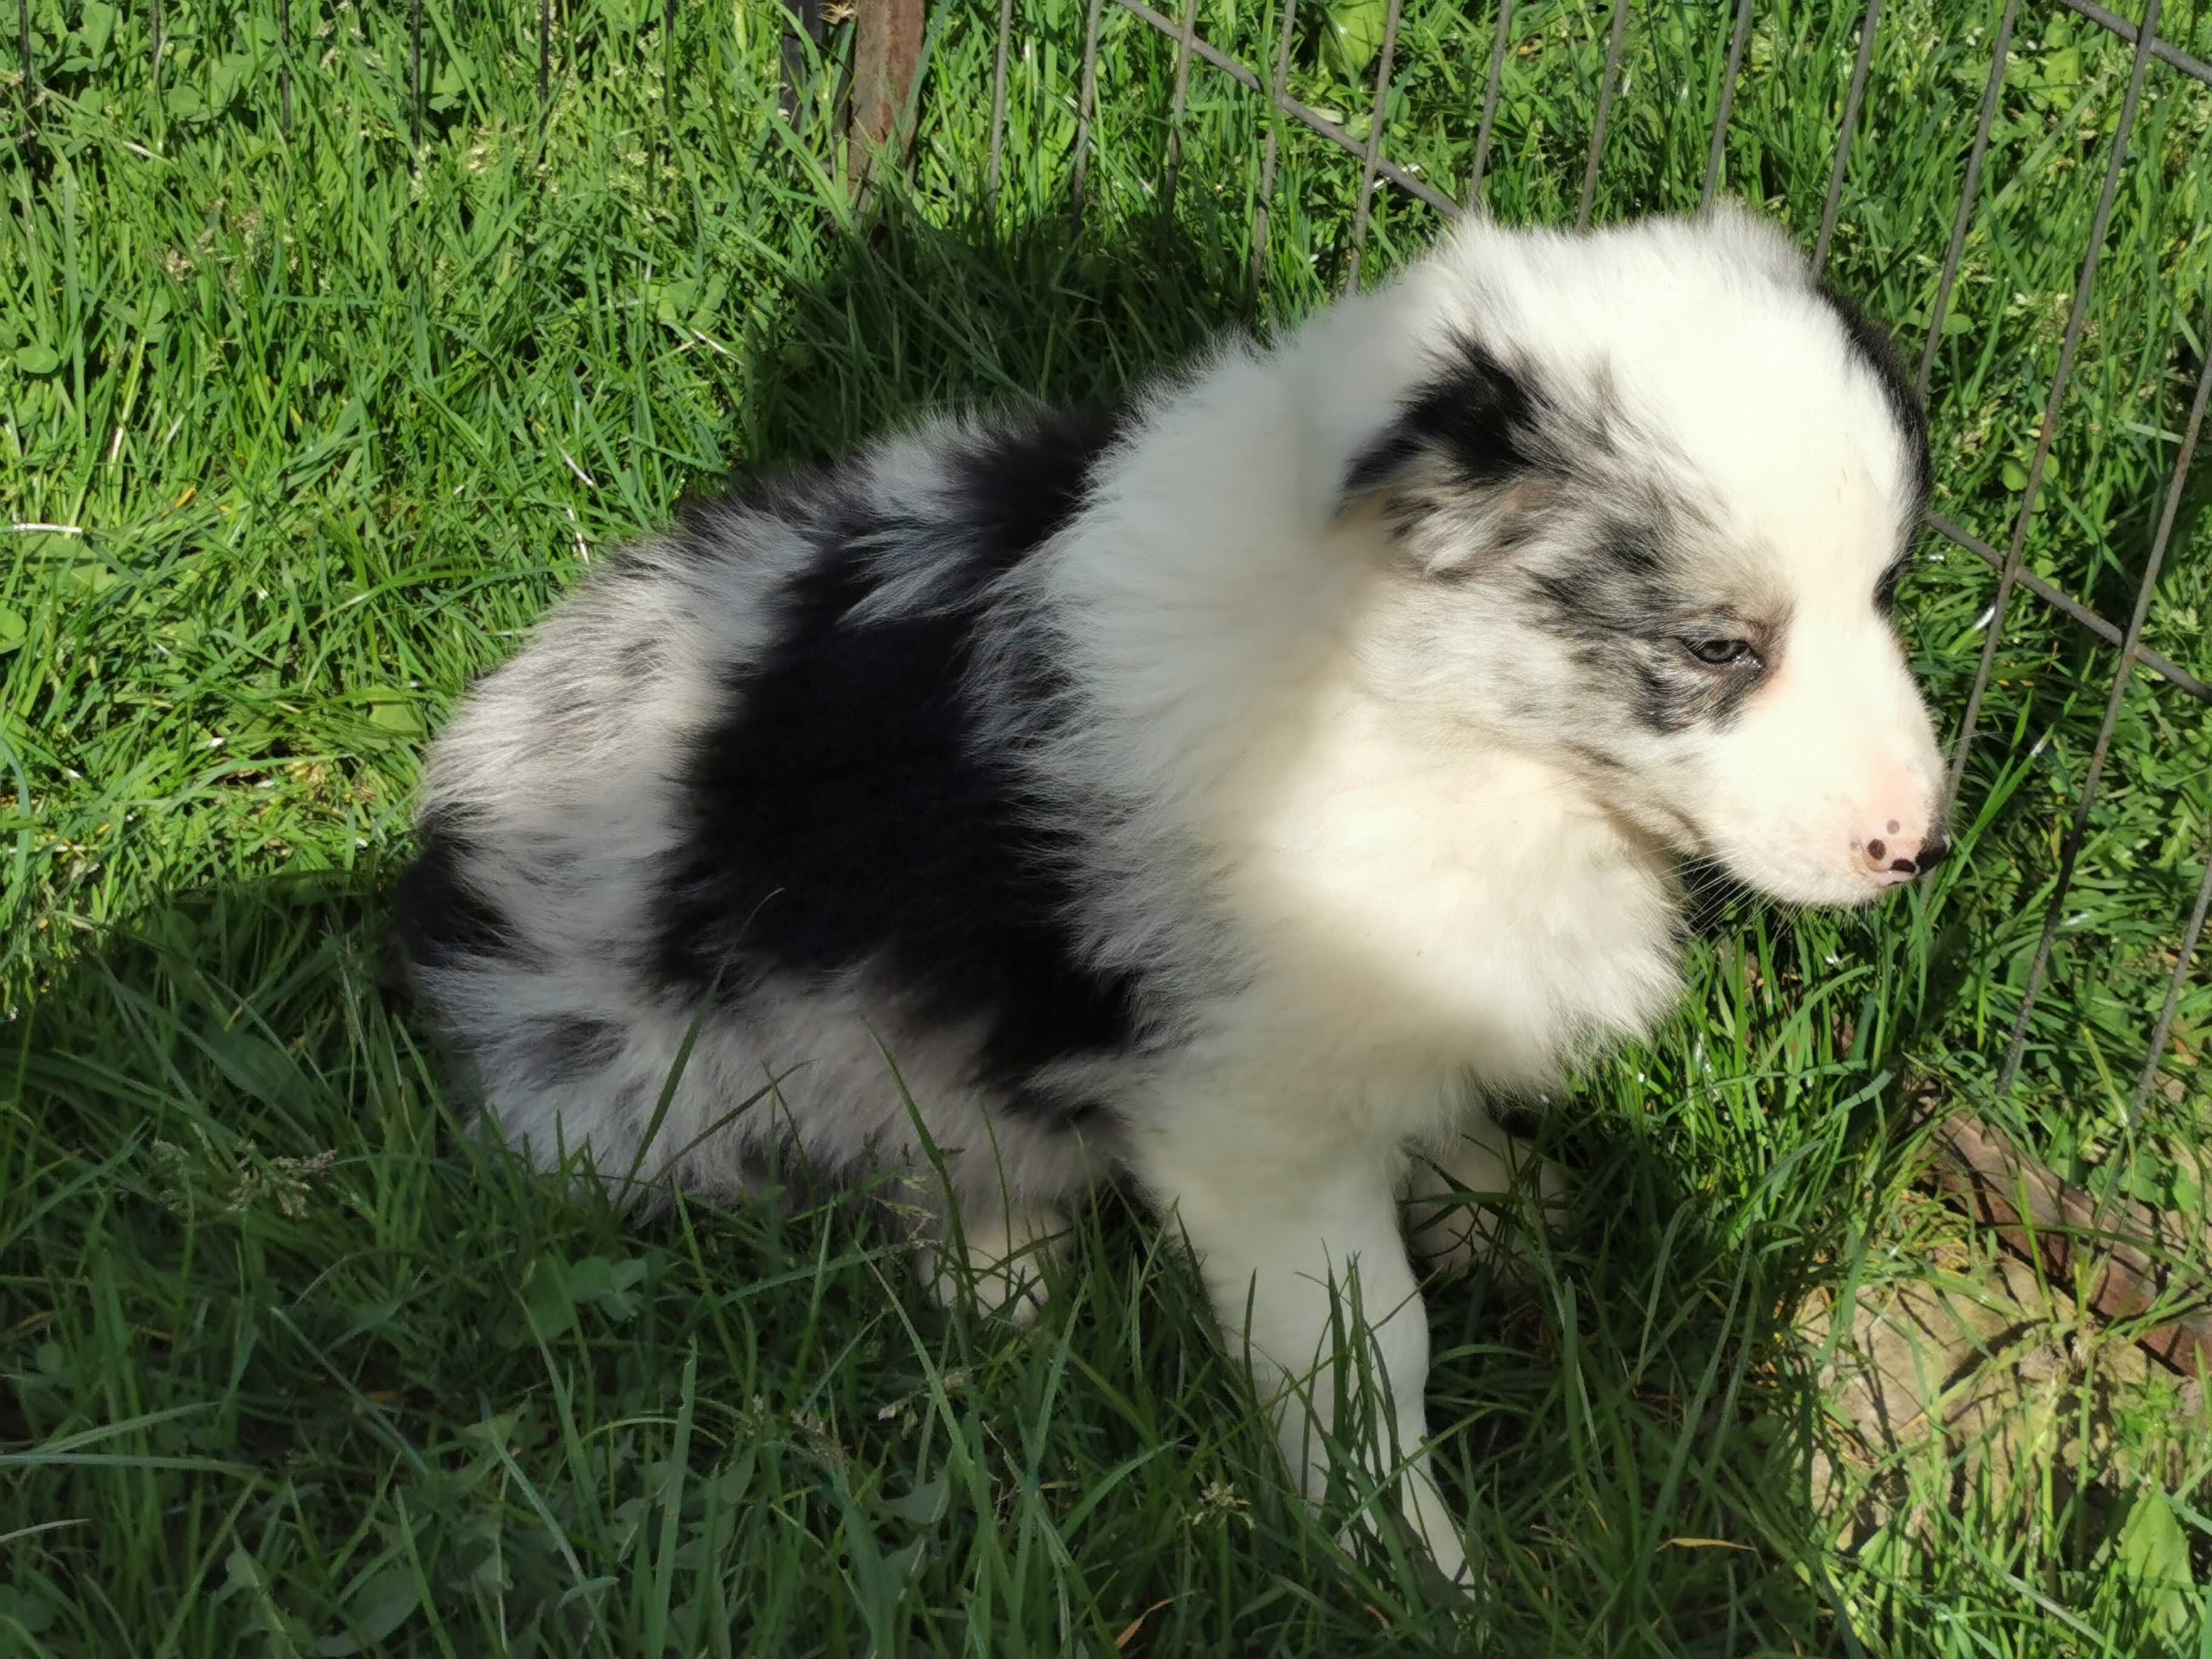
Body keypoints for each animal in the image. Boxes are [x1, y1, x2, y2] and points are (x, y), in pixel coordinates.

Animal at [402, 204, 1955, 1583]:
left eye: (1888, 589)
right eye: (1716, 644)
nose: (1919, 845)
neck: (1431, 711)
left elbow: (1435, 1107)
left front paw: (1498, 1198)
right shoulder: (1255, 1127)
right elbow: (1364, 1355)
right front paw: (1411, 1566)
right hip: (664, 1087)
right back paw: (1002, 1269)